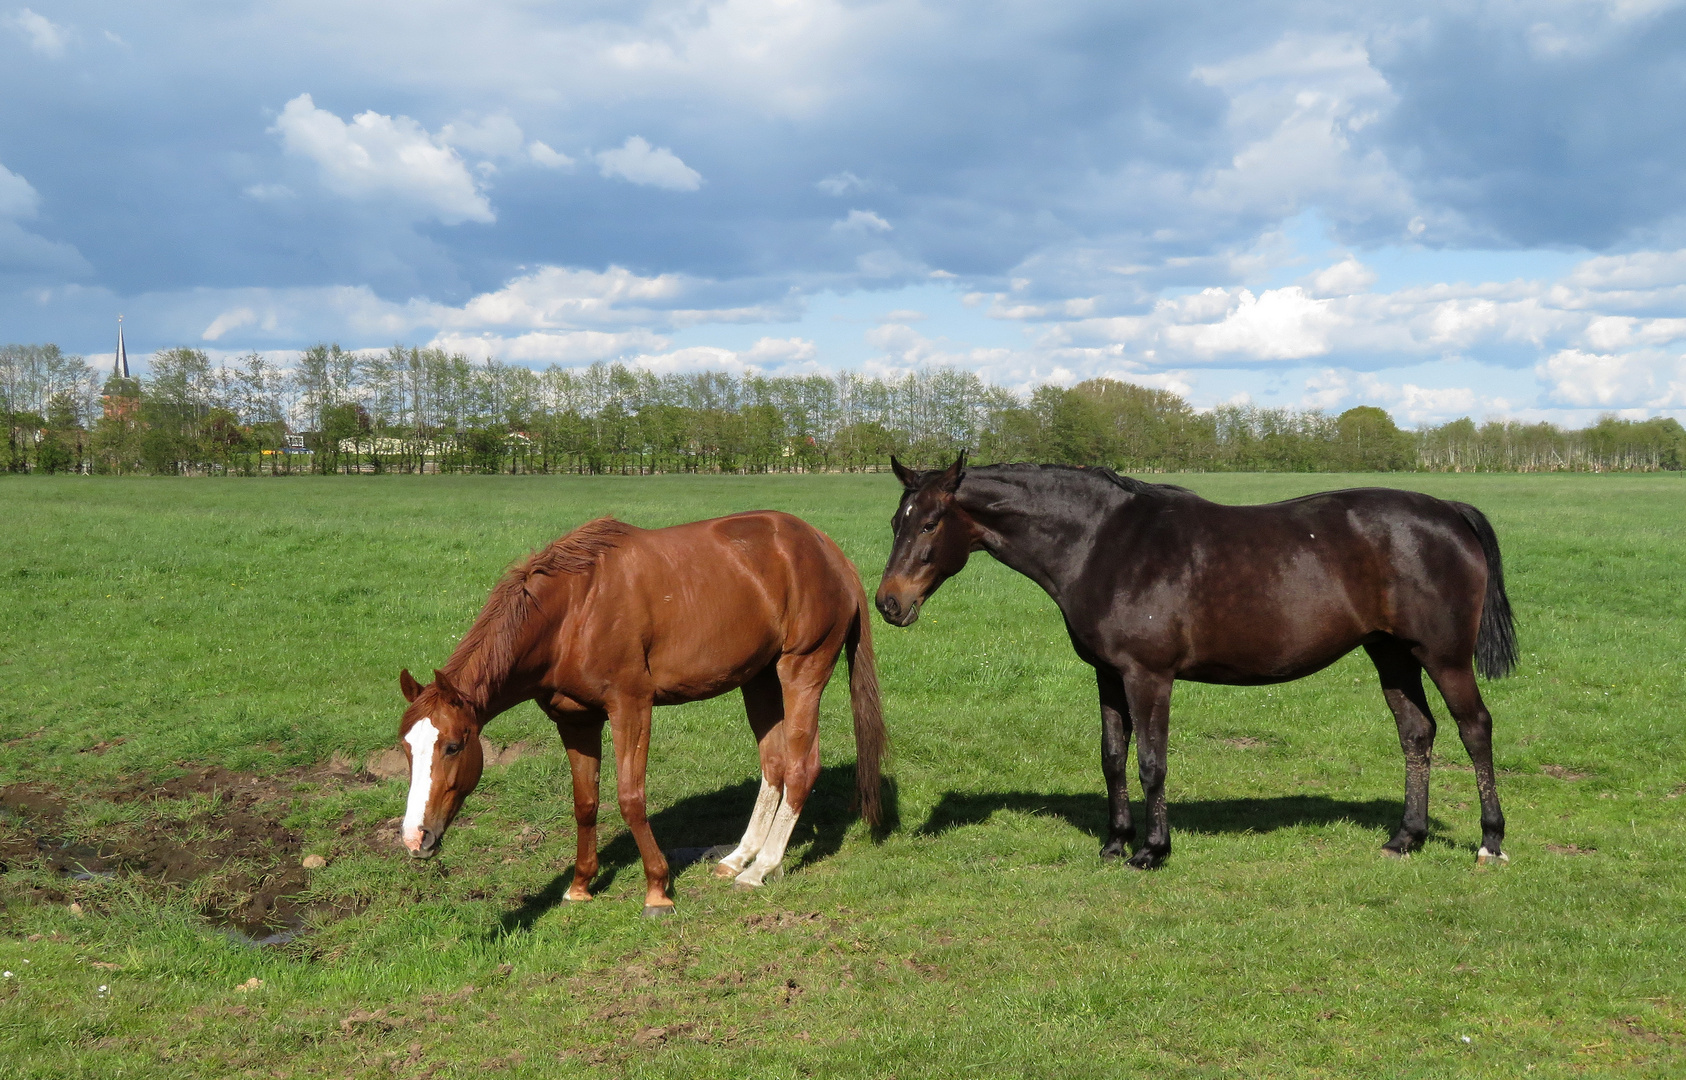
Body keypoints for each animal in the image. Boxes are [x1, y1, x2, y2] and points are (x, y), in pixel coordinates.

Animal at [396, 512, 890, 909]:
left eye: (454, 746)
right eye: (406, 749)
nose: (415, 838)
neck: (572, 610)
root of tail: (828, 551)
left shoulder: (631, 707)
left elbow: (630, 798)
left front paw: (657, 889)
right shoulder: (576, 720)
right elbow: (586, 802)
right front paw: (580, 885)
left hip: (800, 671)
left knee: (802, 768)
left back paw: (760, 869)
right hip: (760, 680)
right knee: (775, 767)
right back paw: (737, 859)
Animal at [876, 454, 1524, 869]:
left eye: (930, 522)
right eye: (895, 521)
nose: (888, 603)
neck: (1103, 544)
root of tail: (1449, 511)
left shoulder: (1148, 677)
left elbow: (1150, 763)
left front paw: (1151, 850)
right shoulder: (1108, 674)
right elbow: (1112, 757)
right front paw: (1114, 844)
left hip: (1443, 657)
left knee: (1474, 729)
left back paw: (1491, 841)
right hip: (1391, 653)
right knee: (1417, 732)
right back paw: (1405, 838)